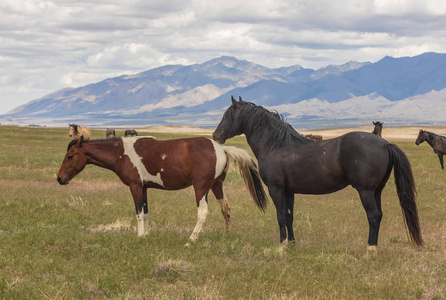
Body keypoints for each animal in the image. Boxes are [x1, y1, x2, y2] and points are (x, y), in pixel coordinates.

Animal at [55, 136, 264, 244]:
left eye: (71, 156)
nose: (60, 178)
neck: (122, 153)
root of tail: (222, 149)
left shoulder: (135, 187)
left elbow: (139, 213)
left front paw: (140, 236)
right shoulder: (144, 188)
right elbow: (146, 212)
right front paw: (147, 235)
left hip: (201, 188)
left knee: (203, 212)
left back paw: (191, 240)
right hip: (217, 185)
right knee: (225, 209)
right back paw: (226, 236)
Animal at [214, 97, 424, 250]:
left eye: (226, 115)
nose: (215, 136)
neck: (276, 145)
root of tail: (385, 144)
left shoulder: (276, 189)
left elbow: (280, 216)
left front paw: (281, 246)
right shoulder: (289, 191)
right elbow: (289, 217)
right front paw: (292, 244)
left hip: (365, 191)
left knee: (373, 216)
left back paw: (370, 250)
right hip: (376, 191)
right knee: (379, 215)